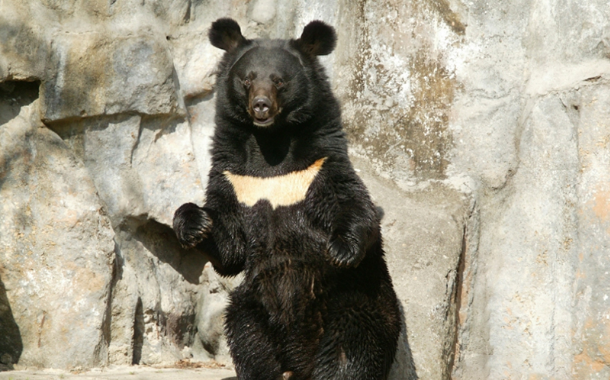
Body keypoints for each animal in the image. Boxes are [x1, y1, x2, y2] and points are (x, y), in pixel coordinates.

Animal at [172, 17, 400, 380]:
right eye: (247, 79)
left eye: (279, 80)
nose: (261, 106)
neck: (270, 145)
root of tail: (300, 357)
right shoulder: (235, 176)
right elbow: (231, 243)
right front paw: (194, 223)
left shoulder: (318, 167)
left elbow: (353, 204)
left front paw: (339, 248)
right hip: (256, 305)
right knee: (248, 339)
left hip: (354, 302)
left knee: (350, 350)